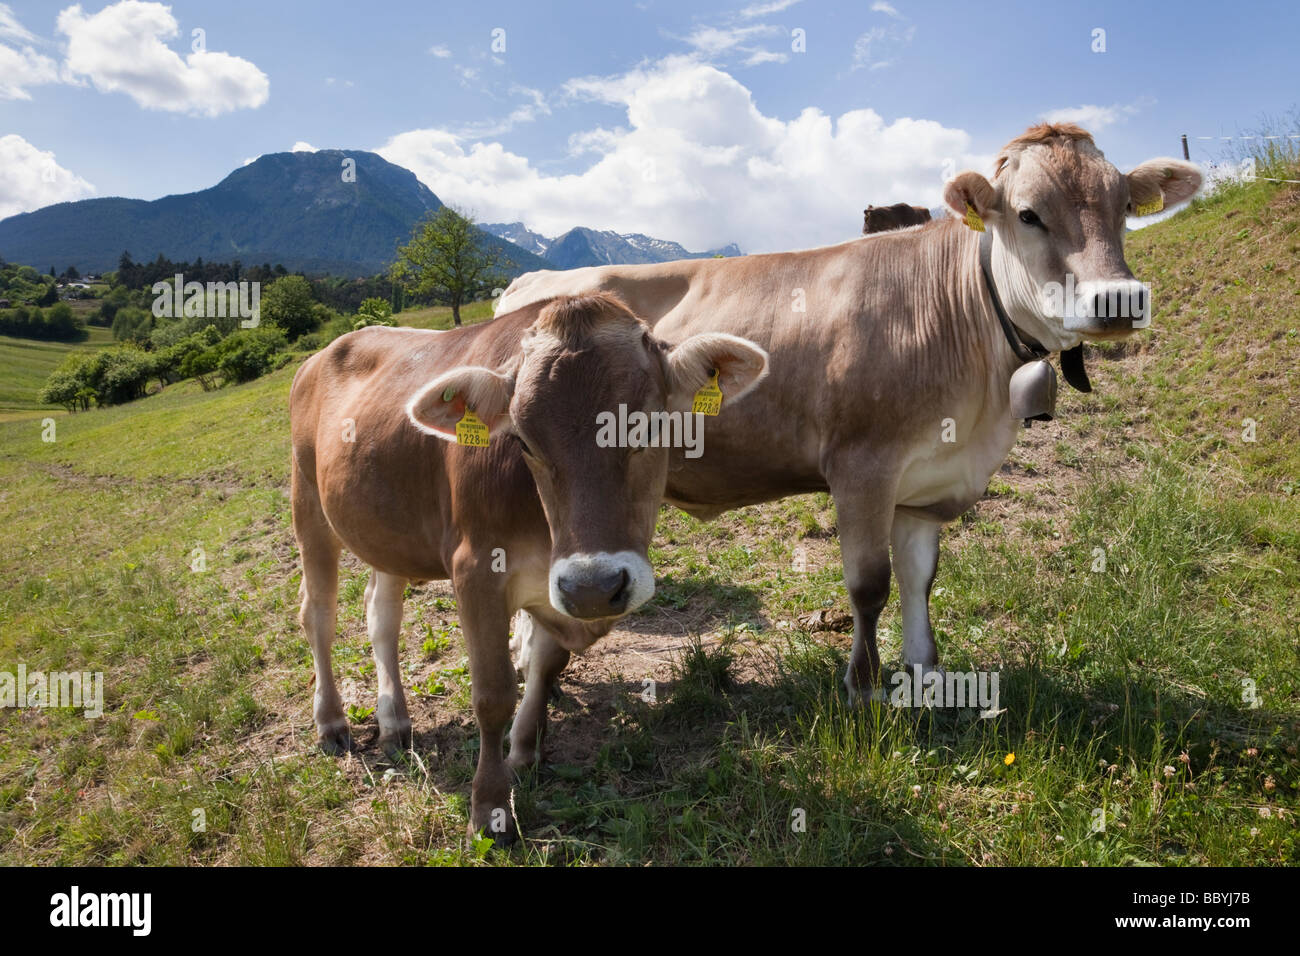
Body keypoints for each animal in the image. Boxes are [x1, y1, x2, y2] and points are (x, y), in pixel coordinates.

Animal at [289, 291, 764, 837]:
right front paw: (489, 807)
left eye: (651, 424)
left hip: (383, 531)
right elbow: (493, 693)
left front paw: (523, 749)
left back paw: (394, 721)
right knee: (318, 615)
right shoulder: (475, 570)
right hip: (307, 501)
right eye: (523, 441)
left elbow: (545, 662)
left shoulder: (558, 586)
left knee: (380, 615)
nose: (597, 586)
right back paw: (331, 722)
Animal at [493, 125, 1196, 738]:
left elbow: (919, 579)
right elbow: (869, 584)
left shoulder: (926, 482)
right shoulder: (862, 467)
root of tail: (535, 282)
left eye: (1124, 206)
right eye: (1028, 214)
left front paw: (926, 677)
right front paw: (862, 689)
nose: (1119, 299)